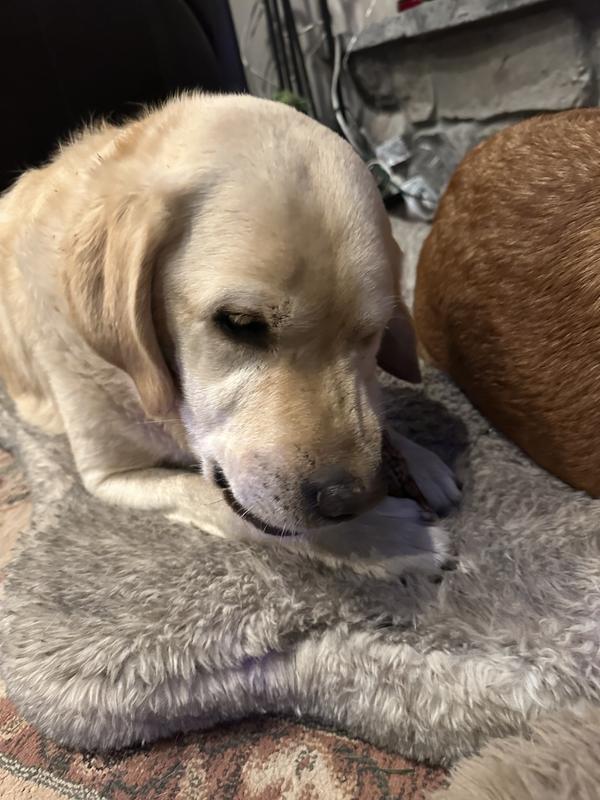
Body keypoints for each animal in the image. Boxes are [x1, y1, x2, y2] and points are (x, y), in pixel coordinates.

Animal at [0, 92, 459, 547]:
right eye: (239, 323)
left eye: (373, 334)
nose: (349, 499)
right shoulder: (111, 476)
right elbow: (234, 510)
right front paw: (393, 533)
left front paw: (419, 459)